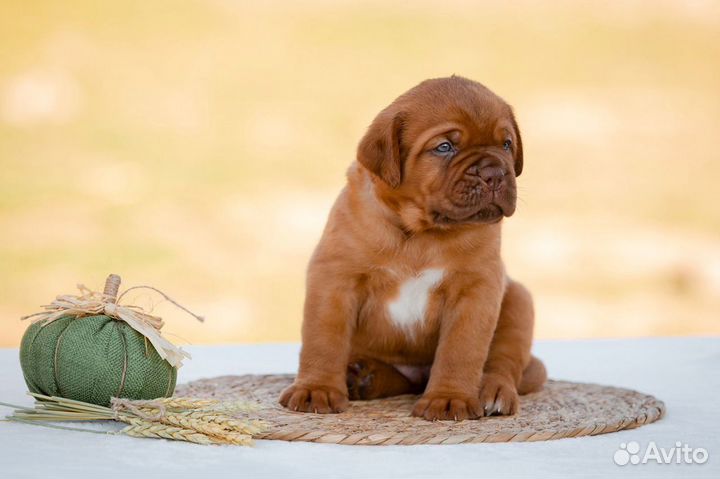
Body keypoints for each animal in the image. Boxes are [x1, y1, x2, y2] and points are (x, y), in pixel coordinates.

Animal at [280, 75, 544, 420]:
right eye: (444, 147)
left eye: (506, 144)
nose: (495, 173)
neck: (422, 233)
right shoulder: (335, 277)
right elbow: (323, 339)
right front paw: (317, 389)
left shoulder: (476, 290)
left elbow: (461, 351)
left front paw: (449, 398)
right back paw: (363, 376)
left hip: (518, 300)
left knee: (504, 360)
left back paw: (493, 391)